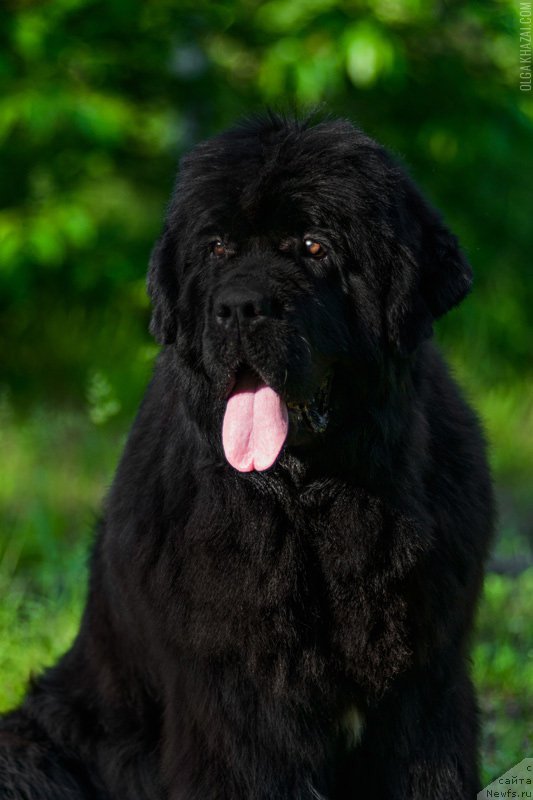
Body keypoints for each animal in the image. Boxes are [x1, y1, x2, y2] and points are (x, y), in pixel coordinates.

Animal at [0, 114, 493, 799]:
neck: (312, 503)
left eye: (314, 246)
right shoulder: (240, 707)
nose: (238, 308)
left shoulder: (425, 689)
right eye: (216, 249)